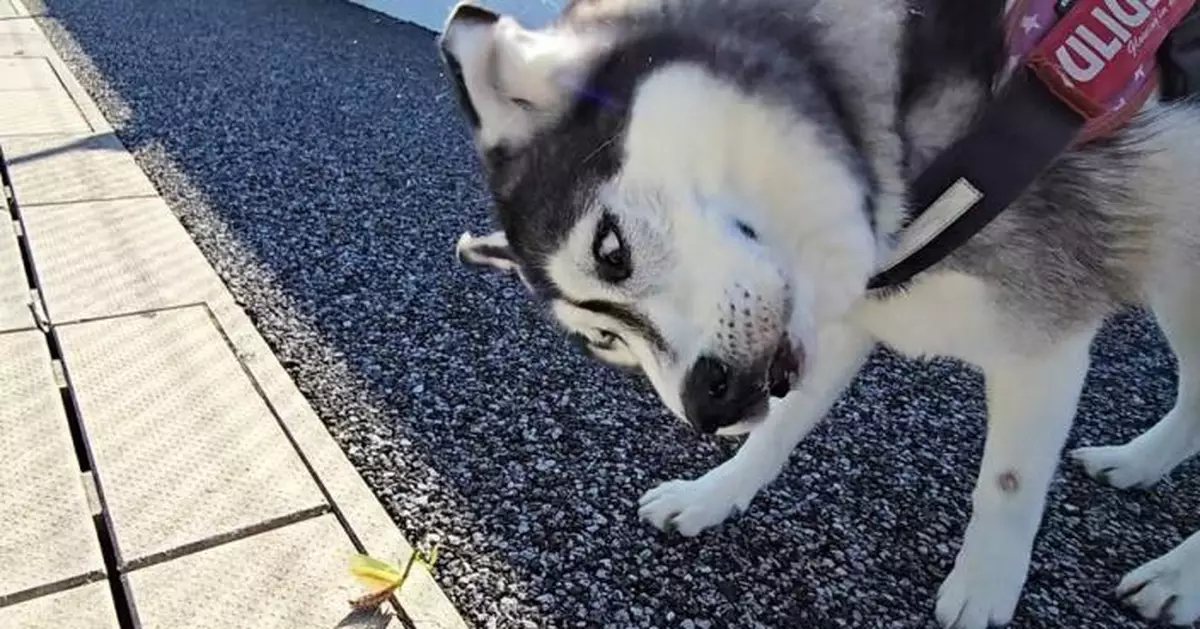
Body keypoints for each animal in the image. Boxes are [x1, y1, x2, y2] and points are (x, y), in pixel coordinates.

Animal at [436, 0, 1200, 624]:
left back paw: (1176, 577)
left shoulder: (1043, 332)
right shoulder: (836, 320)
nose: (706, 404)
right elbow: (778, 430)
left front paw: (983, 589)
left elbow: (1007, 484)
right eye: (606, 338)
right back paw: (1139, 466)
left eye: (611, 249)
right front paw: (712, 496)